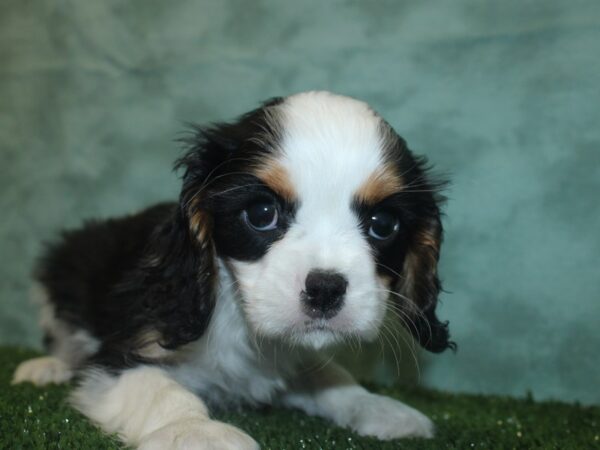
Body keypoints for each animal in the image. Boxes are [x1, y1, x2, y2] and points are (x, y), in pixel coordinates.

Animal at [12, 91, 454, 450]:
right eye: (261, 214)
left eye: (383, 224)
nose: (326, 289)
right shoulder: (125, 351)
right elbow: (159, 388)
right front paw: (197, 432)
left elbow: (328, 374)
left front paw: (377, 407)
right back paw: (47, 366)